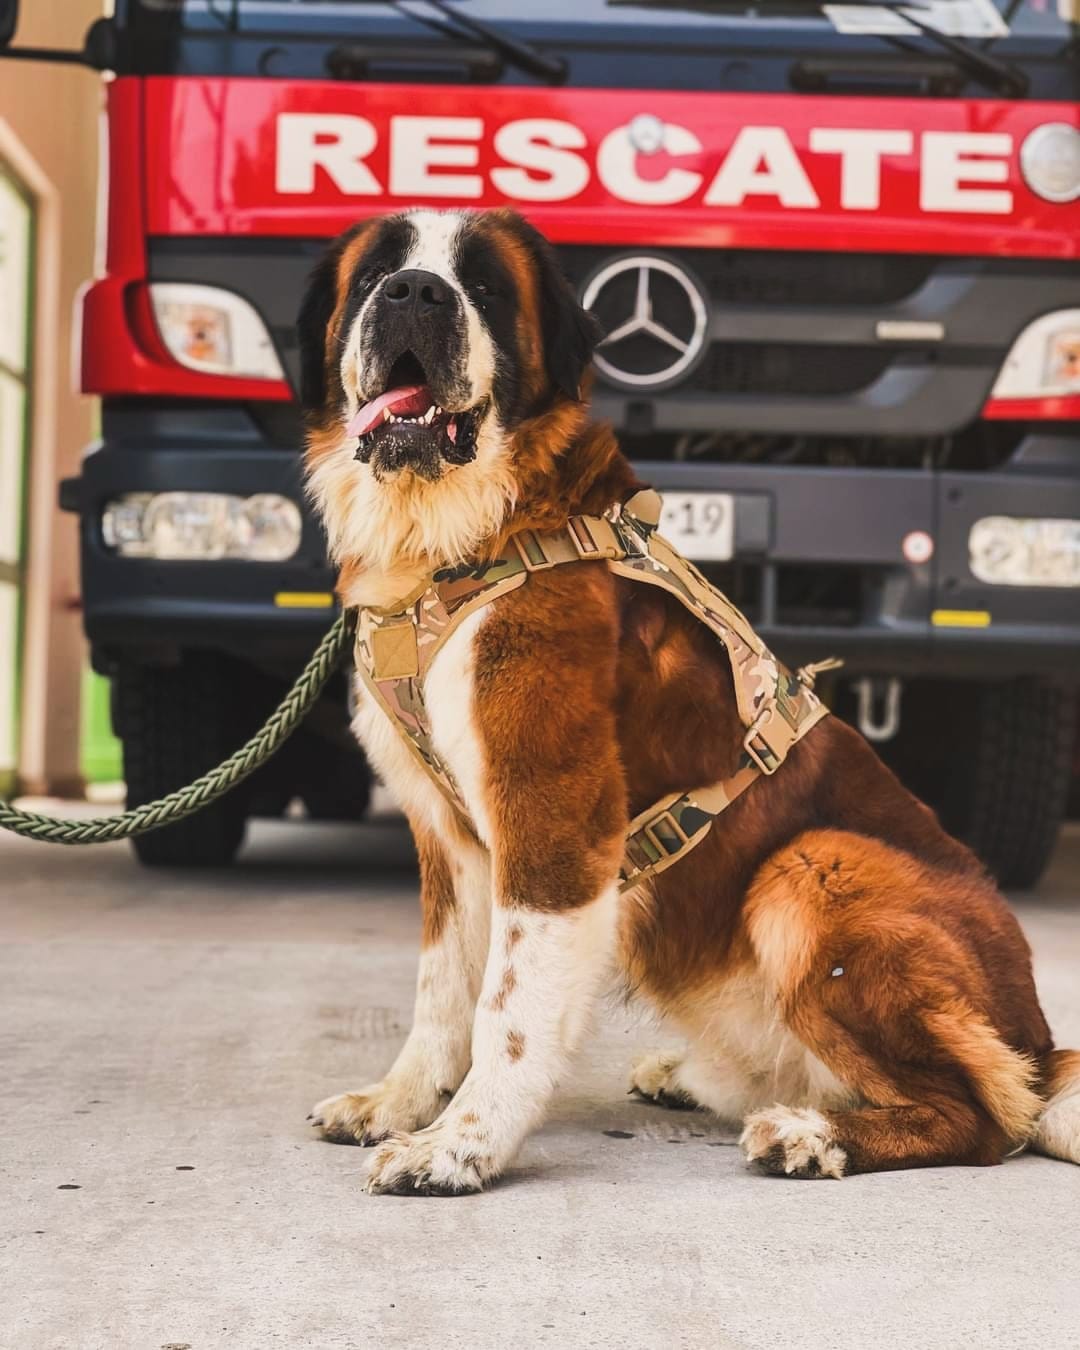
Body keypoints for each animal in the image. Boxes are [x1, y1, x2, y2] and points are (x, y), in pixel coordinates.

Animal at [297, 205, 1080, 1198]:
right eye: (376, 276)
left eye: (481, 285)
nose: (415, 293)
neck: (460, 541)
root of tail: (1041, 1040)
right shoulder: (449, 836)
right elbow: (443, 990)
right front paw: (399, 1102)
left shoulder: (552, 821)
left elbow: (507, 1010)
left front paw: (460, 1146)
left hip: (812, 864)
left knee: (982, 1116)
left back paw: (812, 1137)